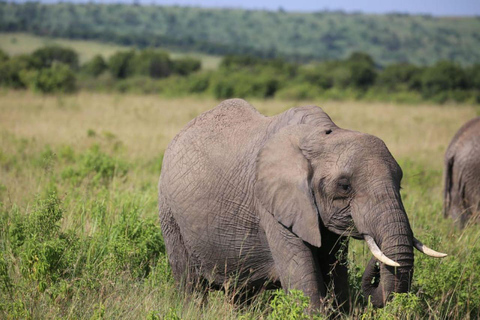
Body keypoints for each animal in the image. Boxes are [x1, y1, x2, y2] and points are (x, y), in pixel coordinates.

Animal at [158, 100, 446, 310]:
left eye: (400, 184)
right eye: (344, 187)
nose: (374, 265)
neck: (319, 137)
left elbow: (336, 278)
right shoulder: (272, 206)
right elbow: (304, 285)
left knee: (241, 294)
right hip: (170, 214)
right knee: (190, 285)